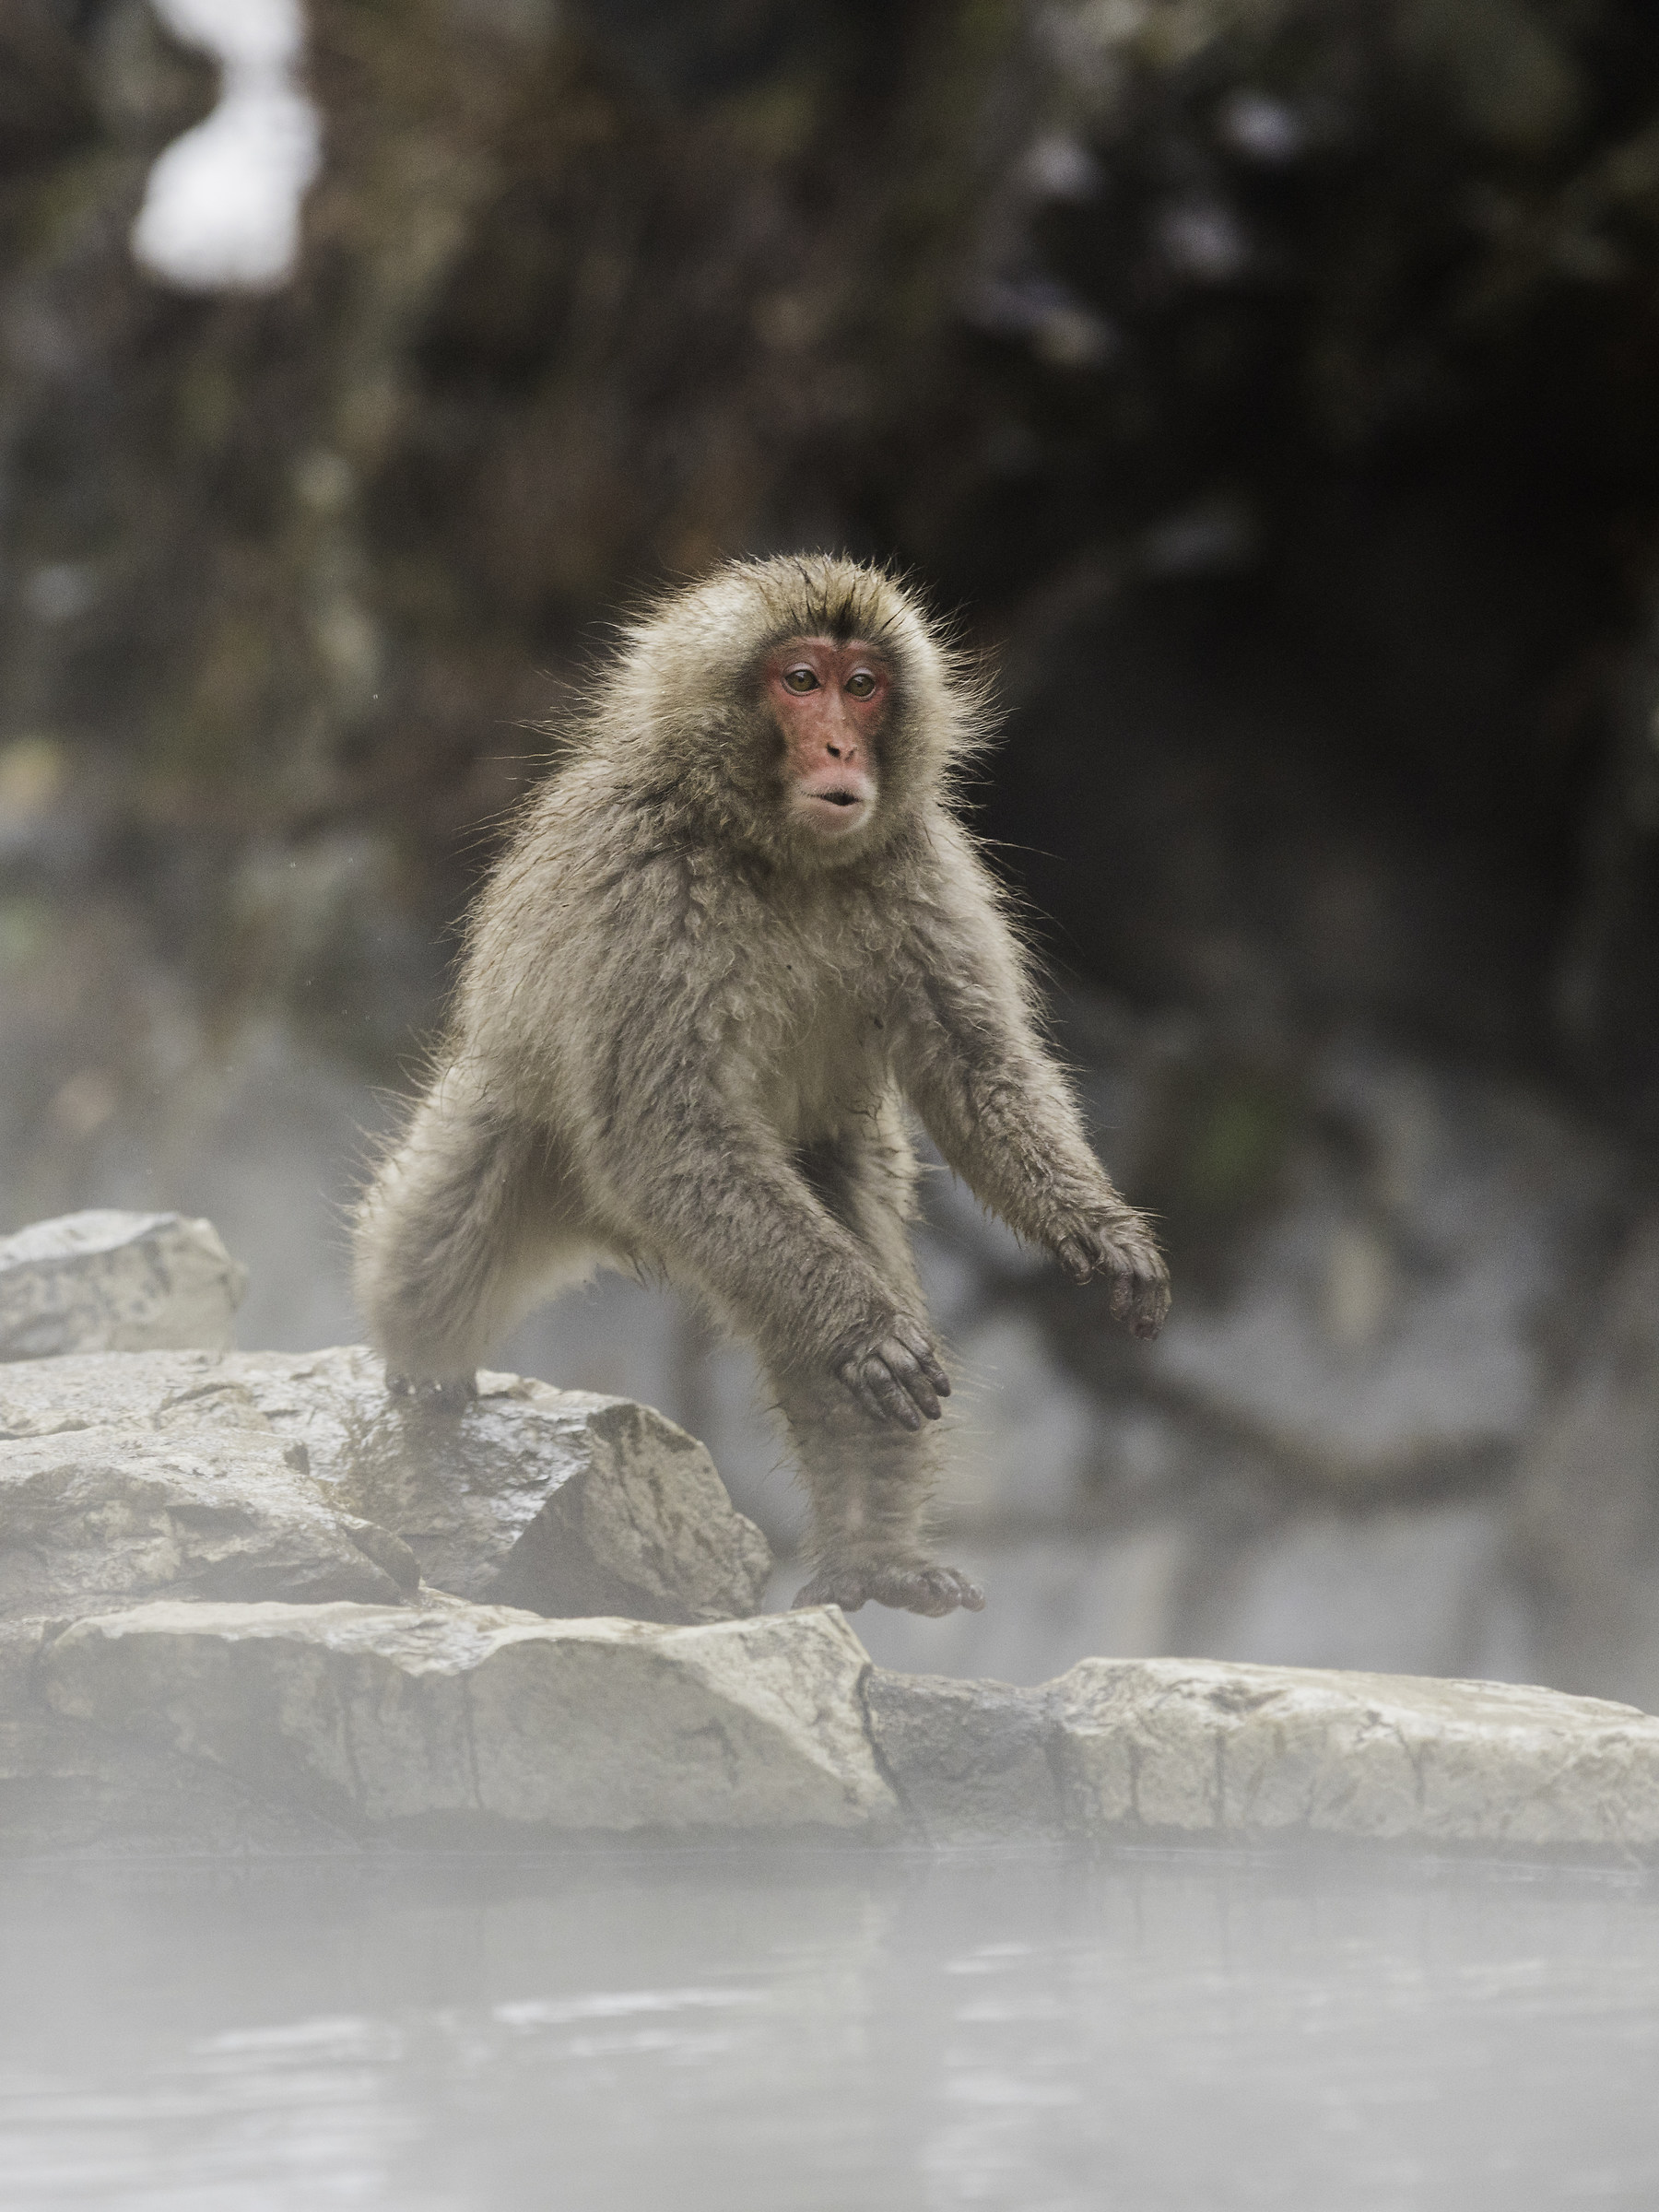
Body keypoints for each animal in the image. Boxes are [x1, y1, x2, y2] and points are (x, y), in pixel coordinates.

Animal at [353, 554, 1169, 1618]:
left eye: (863, 686)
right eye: (801, 681)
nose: (839, 745)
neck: (780, 855)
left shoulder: (923, 871)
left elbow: (979, 1069)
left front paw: (1097, 1231)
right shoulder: (647, 891)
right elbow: (671, 1134)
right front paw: (864, 1328)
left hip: (807, 1177)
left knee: (834, 1258)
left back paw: (873, 1554)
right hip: (530, 1123)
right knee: (438, 1240)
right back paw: (423, 1364)